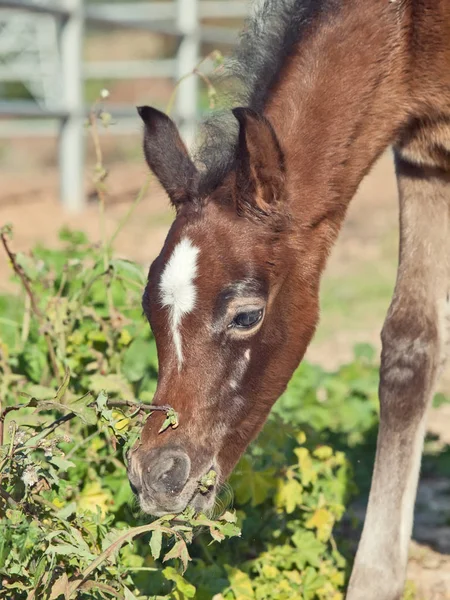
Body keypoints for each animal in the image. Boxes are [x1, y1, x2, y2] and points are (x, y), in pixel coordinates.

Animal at [126, 2, 450, 596]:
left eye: (247, 314)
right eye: (149, 311)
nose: (156, 475)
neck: (415, 27)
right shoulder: (425, 159)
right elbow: (410, 348)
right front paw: (374, 580)